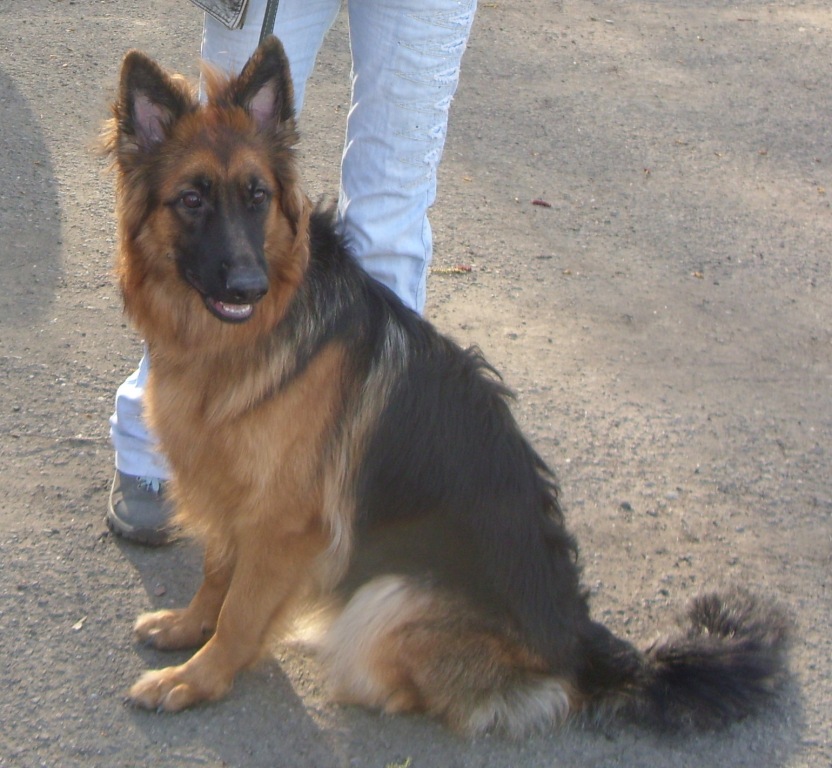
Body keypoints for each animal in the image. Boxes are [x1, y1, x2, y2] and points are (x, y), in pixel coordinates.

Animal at [102, 37, 789, 736]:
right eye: (192, 200)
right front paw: (190, 626)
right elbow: (217, 572)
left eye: (257, 196)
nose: (248, 287)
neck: (245, 338)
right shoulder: (226, 483)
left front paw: (198, 678)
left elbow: (241, 612)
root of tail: (581, 644)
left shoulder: (283, 521)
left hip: (389, 599)